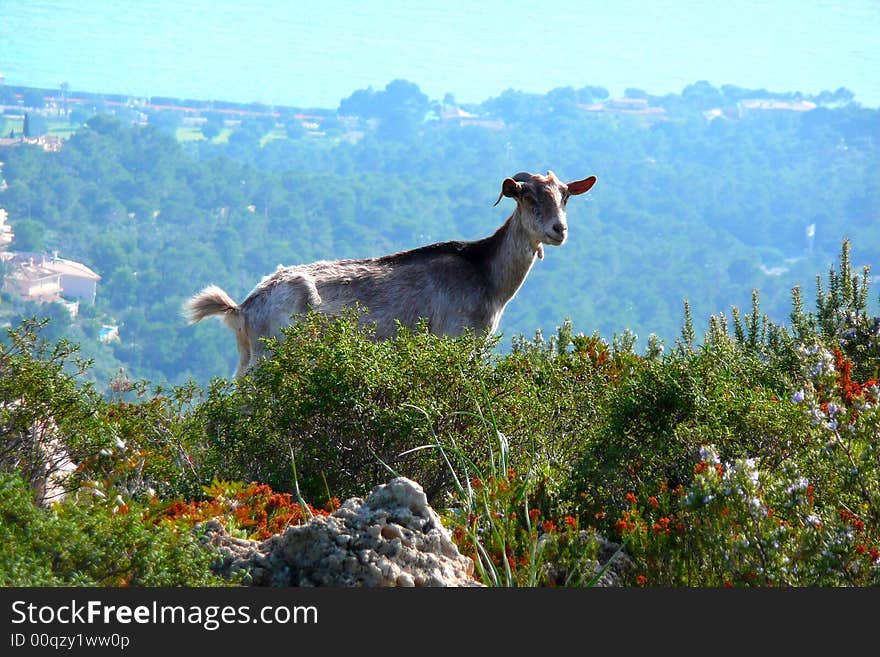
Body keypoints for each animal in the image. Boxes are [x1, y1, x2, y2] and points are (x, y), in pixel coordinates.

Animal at [186, 169, 600, 376]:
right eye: (527, 196)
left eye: (565, 196)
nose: (558, 230)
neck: (486, 275)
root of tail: (243, 309)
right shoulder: (457, 338)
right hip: (273, 354)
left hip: (249, 357)